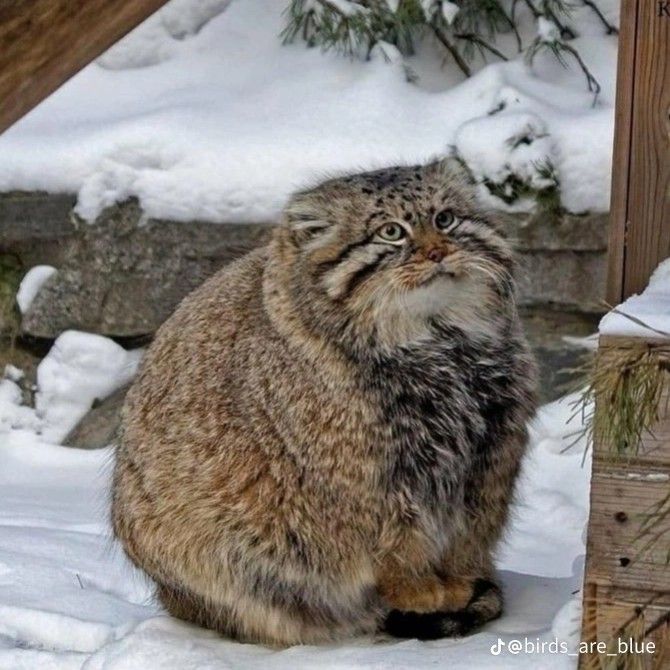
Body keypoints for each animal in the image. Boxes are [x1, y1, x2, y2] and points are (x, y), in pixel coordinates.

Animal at [113, 160, 540, 648]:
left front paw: (459, 579)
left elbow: (466, 535)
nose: (437, 252)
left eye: (445, 219)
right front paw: (418, 589)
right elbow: (397, 545)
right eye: (391, 232)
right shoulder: (369, 478)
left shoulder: (490, 459)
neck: (440, 345)